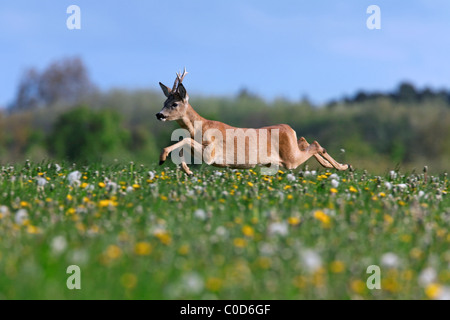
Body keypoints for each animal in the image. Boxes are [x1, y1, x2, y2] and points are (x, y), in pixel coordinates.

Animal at [156, 68, 350, 176]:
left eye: (174, 104)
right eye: (164, 102)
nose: (159, 114)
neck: (201, 127)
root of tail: (289, 128)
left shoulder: (211, 153)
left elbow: (185, 141)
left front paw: (163, 157)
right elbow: (184, 143)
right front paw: (187, 170)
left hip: (290, 159)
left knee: (315, 144)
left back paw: (343, 166)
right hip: (291, 152)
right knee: (304, 140)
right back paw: (335, 165)